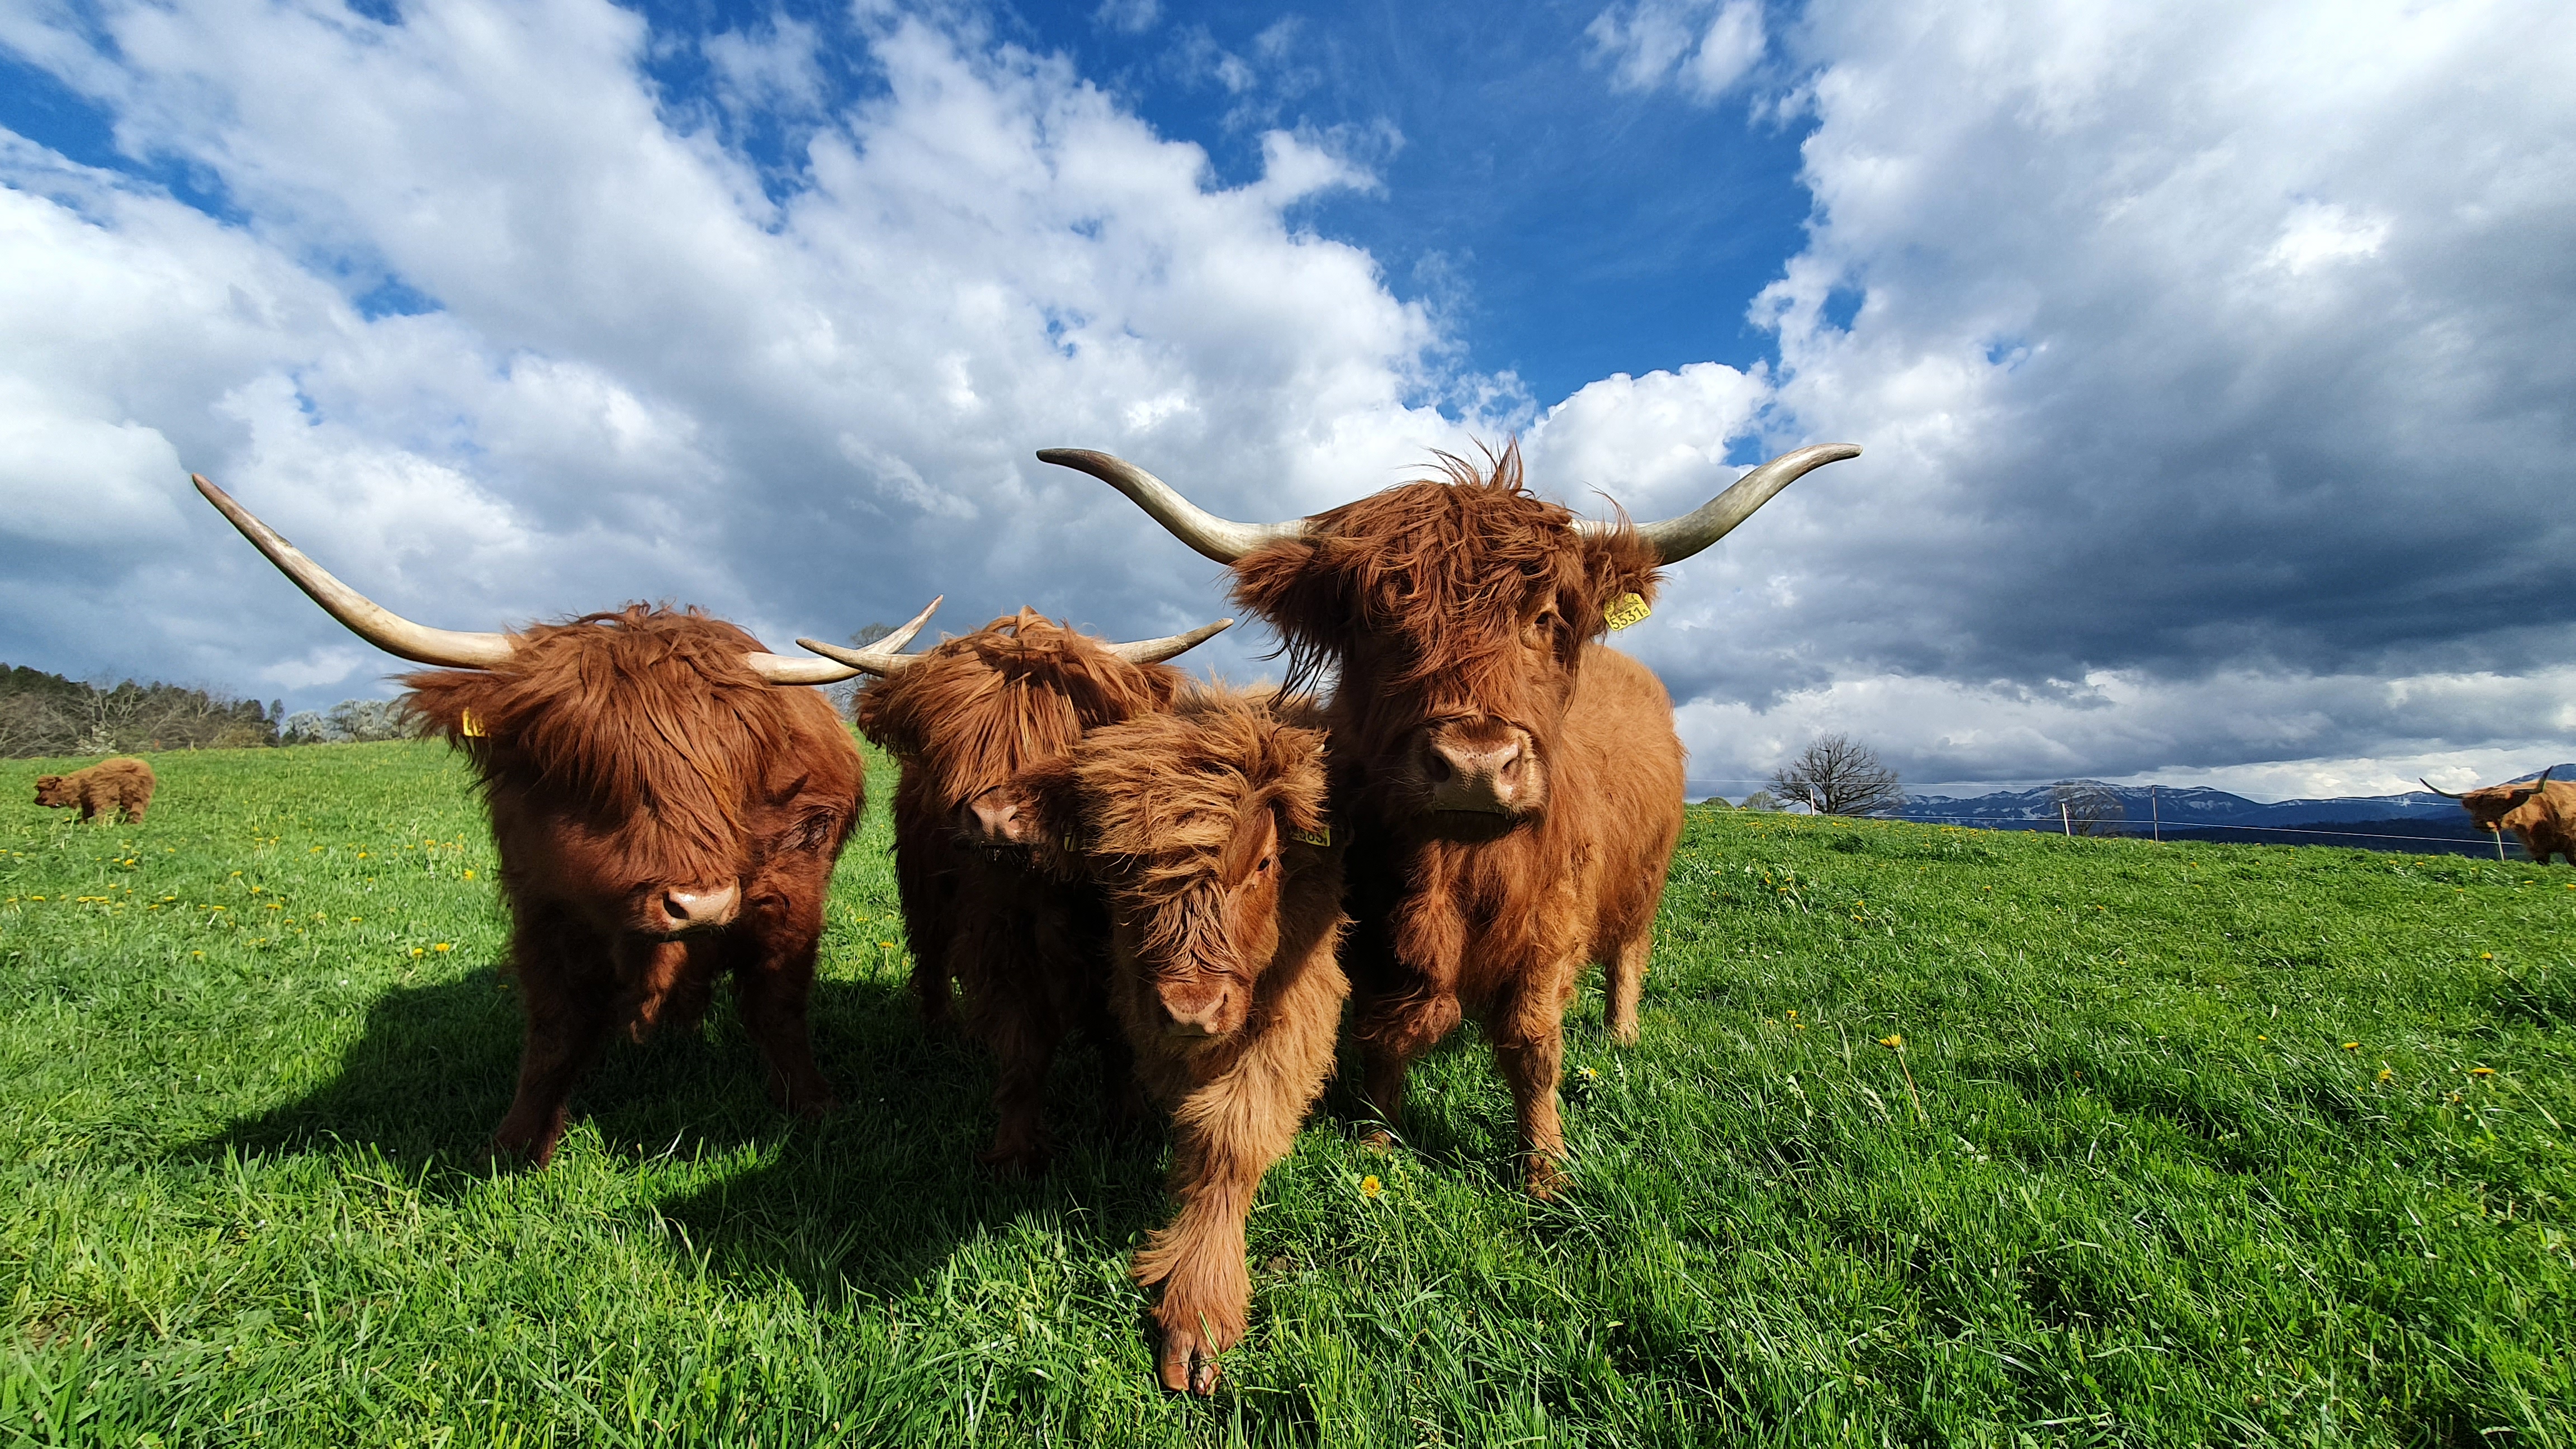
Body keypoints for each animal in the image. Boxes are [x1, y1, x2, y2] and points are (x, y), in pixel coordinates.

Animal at [34, 756, 156, 824]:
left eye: (42, 790)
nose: (35, 801)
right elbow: (86, 815)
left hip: (106, 796)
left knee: (106, 812)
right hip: (139, 796)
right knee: (137, 811)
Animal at [194, 473, 934, 1166]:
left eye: (736, 762)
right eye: (589, 765)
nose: (699, 905)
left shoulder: (790, 890)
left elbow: (776, 1003)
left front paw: (812, 1105)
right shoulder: (541, 902)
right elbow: (555, 1027)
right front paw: (518, 1142)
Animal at [802, 608, 1229, 1174]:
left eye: (1060, 736)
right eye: (955, 740)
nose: (994, 820)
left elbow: (1116, 1034)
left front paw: (1127, 1121)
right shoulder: (1003, 940)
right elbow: (1024, 1046)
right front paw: (1017, 1153)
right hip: (925, 894)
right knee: (931, 957)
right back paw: (943, 1032)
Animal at [1011, 686, 1345, 1395]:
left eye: (1264, 862)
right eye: (1118, 870)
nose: (1193, 1009)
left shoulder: (1304, 997)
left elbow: (1230, 1135)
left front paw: (1201, 1303)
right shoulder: (1141, 1001)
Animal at [1044, 438, 1858, 1195]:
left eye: (1544, 617)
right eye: (1380, 621)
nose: (1474, 765)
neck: (1452, 874)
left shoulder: (1550, 929)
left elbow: (1533, 1046)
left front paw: (1546, 1170)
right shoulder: (1372, 929)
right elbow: (1386, 1033)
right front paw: (1378, 1141)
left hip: (1646, 877)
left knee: (1630, 950)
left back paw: (1623, 1035)